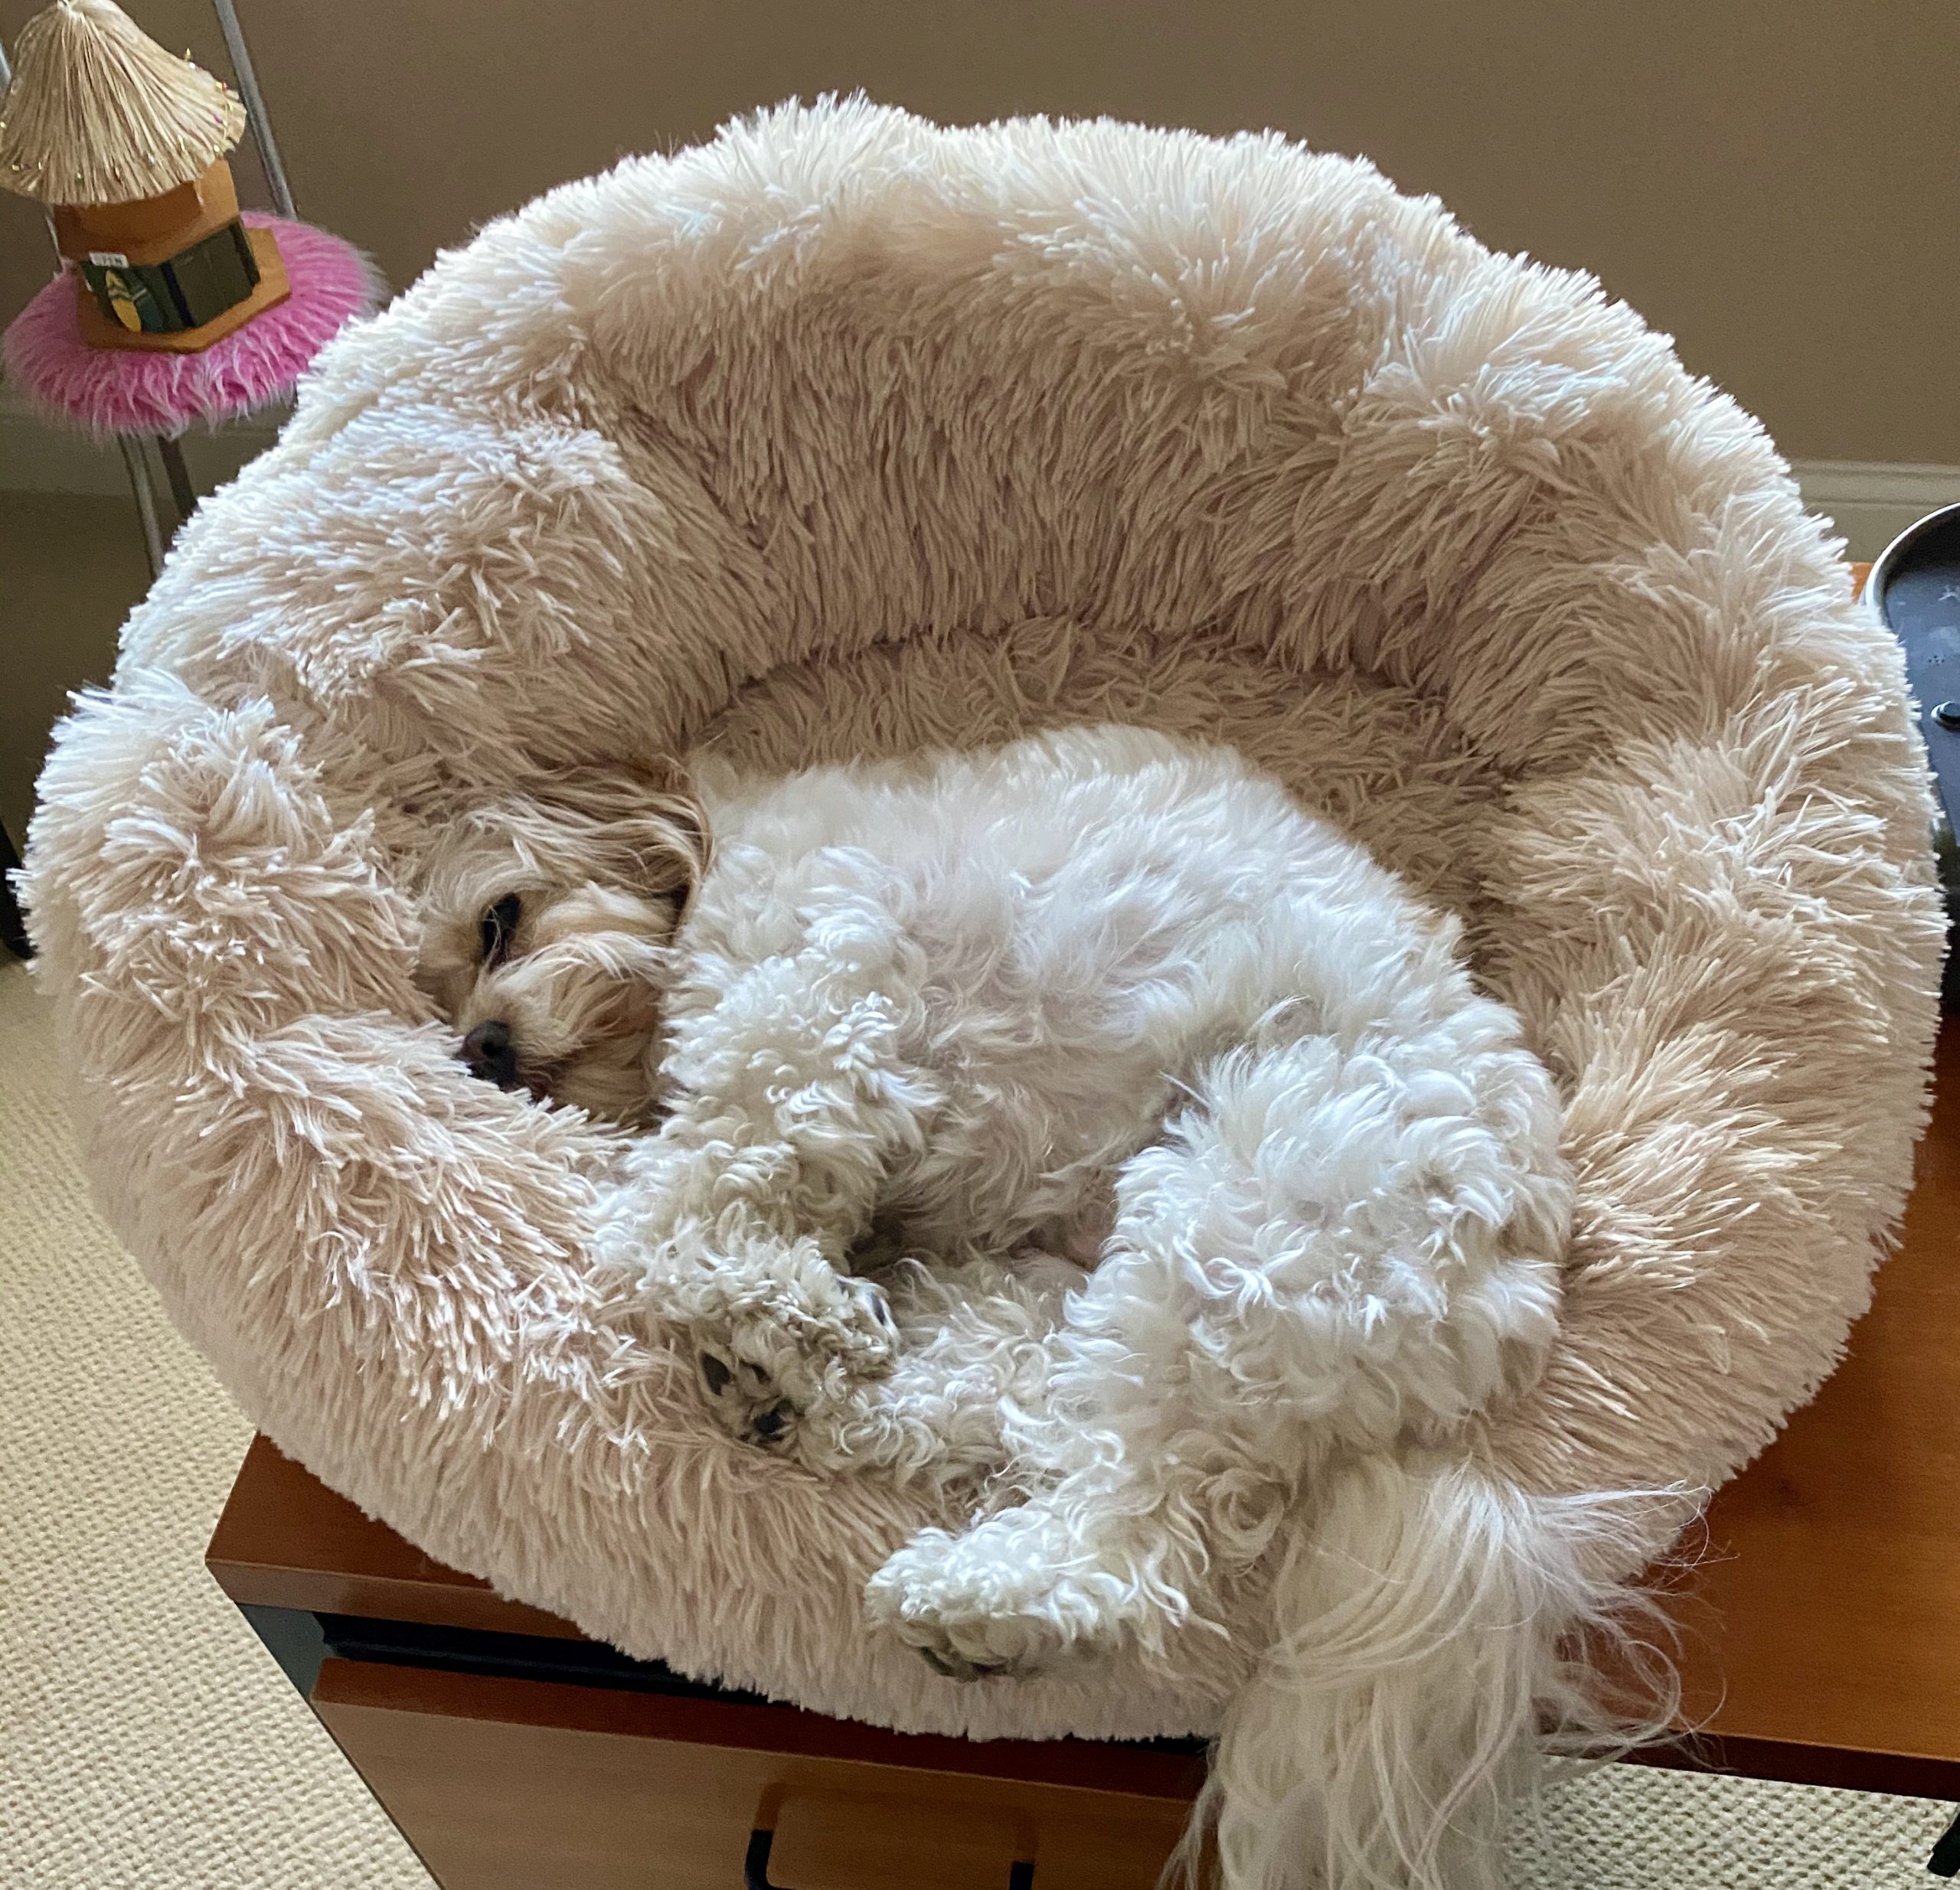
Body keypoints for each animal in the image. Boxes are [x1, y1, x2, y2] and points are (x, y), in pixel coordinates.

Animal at [417, 725, 1576, 1890]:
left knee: (1134, 1528)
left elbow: (690, 1194)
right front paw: (788, 1315)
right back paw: (798, 1395)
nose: (481, 1046)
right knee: (1009, 1402)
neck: (715, 853)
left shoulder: (812, 1002)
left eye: (500, 920)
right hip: (1076, 1286)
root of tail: (1512, 1297)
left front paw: (763, 1290)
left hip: (1245, 1227)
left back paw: (971, 1592)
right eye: (443, 1003)